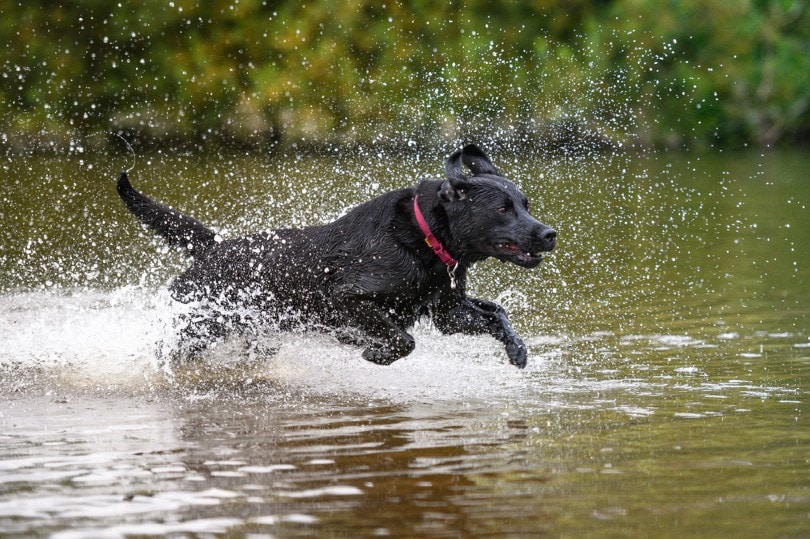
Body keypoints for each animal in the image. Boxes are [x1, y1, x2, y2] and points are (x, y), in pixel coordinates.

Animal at [115, 146, 556, 370]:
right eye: (502, 209)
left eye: (525, 205)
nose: (549, 234)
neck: (423, 238)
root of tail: (213, 247)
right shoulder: (344, 299)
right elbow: (404, 339)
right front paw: (374, 352)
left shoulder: (447, 311)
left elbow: (497, 314)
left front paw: (517, 349)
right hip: (197, 326)